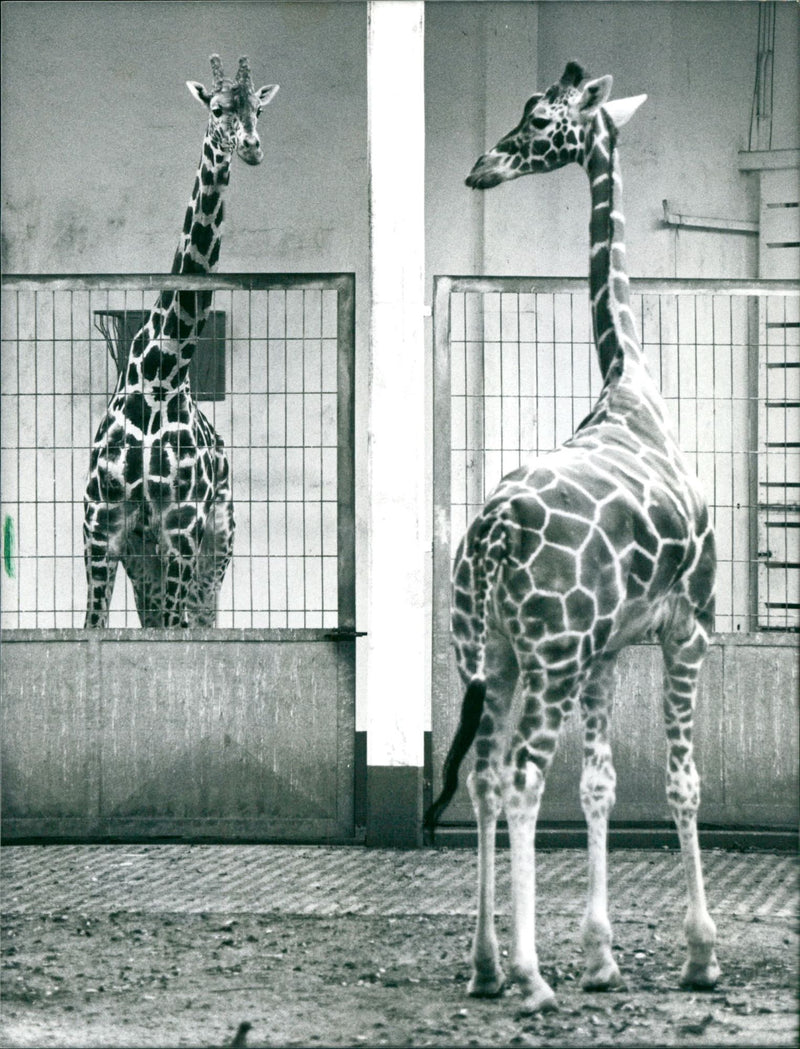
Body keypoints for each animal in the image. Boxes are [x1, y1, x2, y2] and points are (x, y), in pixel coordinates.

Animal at [83, 55, 279, 627]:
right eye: (217, 107)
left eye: (258, 108)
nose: (252, 147)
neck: (161, 375)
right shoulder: (101, 524)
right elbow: (91, 626)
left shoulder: (183, 525)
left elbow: (178, 632)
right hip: (142, 557)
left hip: (218, 543)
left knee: (201, 618)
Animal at [425, 62, 720, 1012]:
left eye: (541, 119)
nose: (481, 167)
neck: (631, 382)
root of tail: (487, 540)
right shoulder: (688, 628)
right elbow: (680, 783)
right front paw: (701, 952)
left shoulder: (608, 650)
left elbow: (599, 786)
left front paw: (601, 954)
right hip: (544, 659)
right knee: (520, 778)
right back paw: (528, 973)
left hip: (490, 655)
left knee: (484, 776)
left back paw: (486, 964)